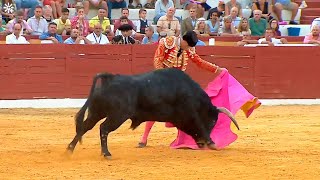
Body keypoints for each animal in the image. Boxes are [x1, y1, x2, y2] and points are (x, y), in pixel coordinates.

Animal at [66, 68, 239, 158]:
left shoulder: (181, 118)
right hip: (118, 115)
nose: (202, 143)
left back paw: (70, 149)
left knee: (85, 127)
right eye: (212, 121)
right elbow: (198, 124)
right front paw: (212, 143)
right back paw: (106, 153)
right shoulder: (190, 112)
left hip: (97, 112)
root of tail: (110, 79)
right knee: (104, 128)